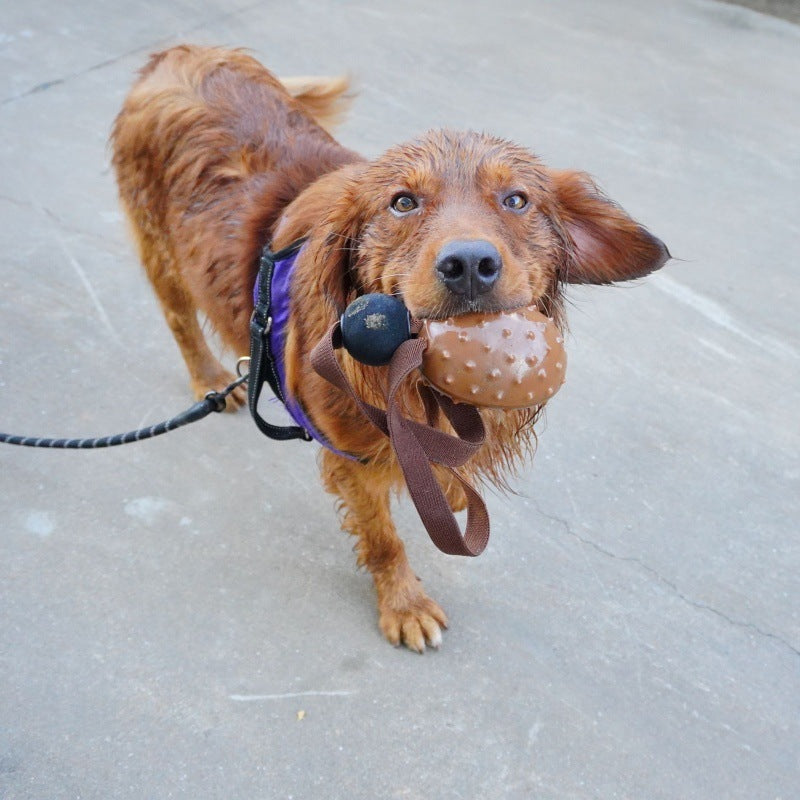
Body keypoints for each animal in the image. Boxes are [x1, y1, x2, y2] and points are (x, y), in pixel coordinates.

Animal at [109, 45, 664, 648]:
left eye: (516, 199)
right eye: (403, 202)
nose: (470, 263)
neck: (420, 386)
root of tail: (181, 52)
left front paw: (449, 489)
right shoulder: (352, 458)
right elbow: (382, 538)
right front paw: (404, 604)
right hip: (162, 253)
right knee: (180, 320)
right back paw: (210, 377)